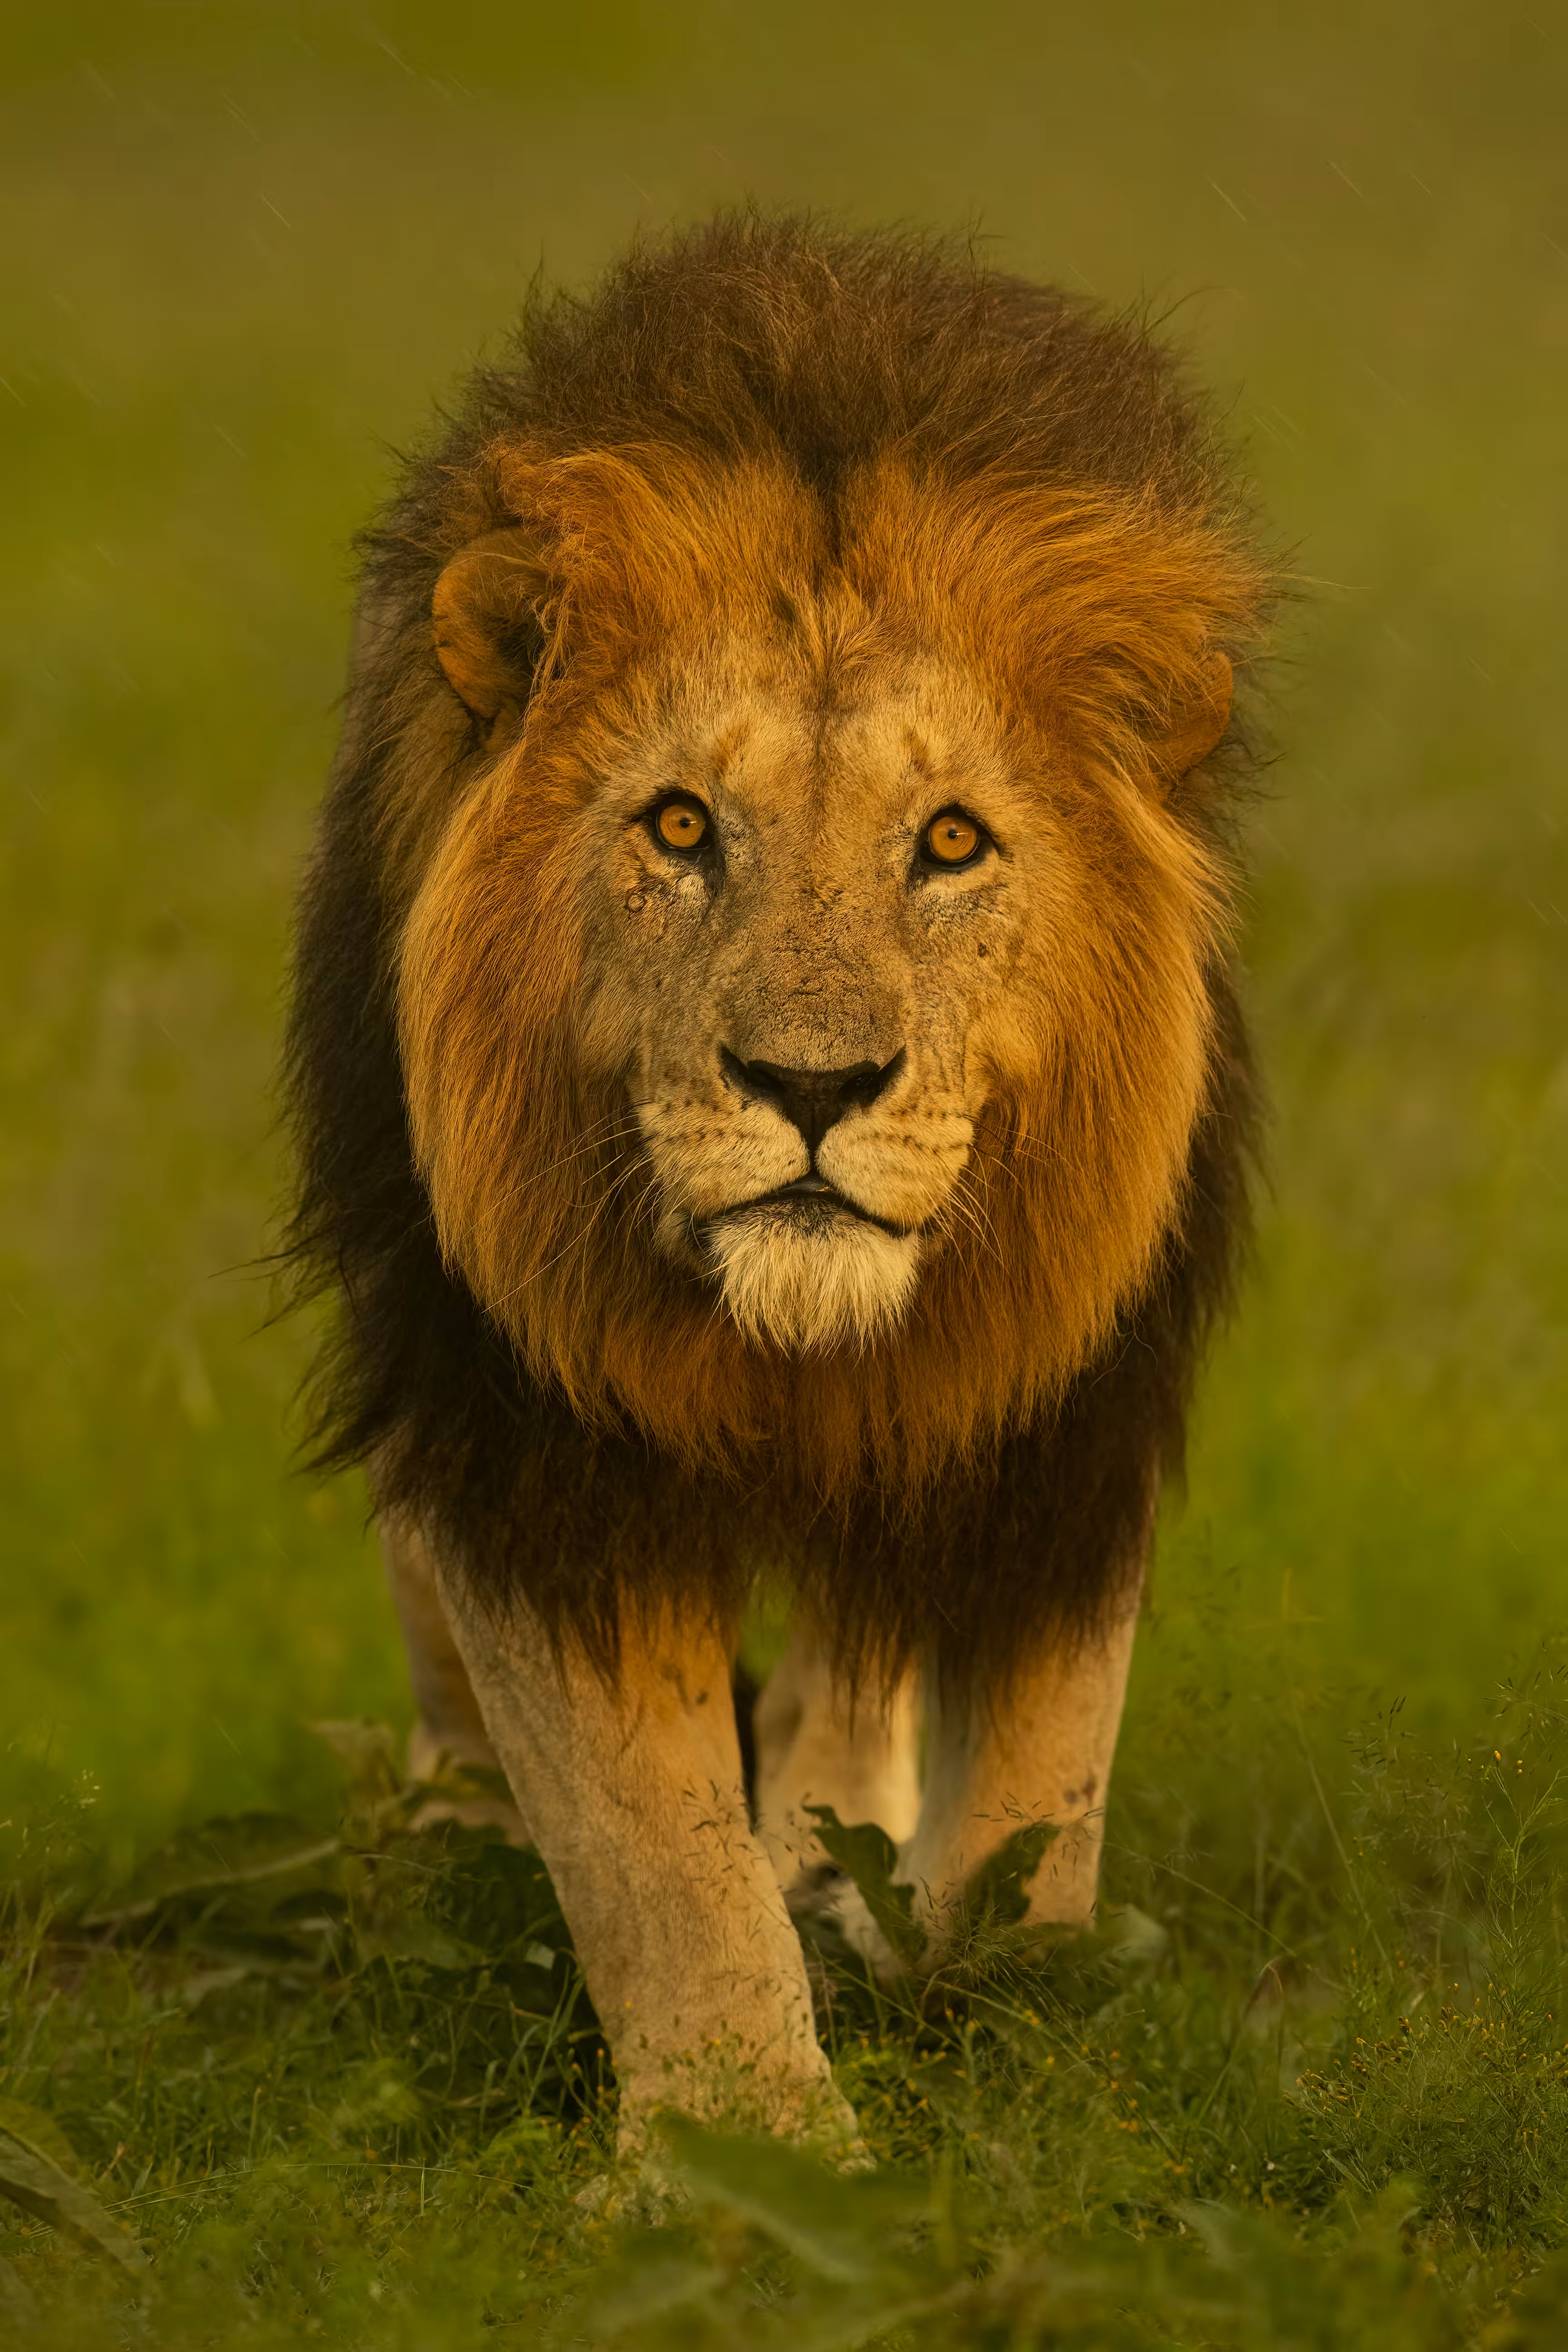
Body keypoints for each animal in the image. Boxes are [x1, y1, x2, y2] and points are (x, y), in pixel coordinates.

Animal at [283, 212, 1273, 2156]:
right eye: (679, 826)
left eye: (949, 843)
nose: (812, 1086)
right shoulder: (526, 1431)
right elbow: (653, 1851)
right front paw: (746, 2147)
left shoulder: (1061, 1417)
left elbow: (1046, 1788)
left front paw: (1002, 2021)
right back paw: (454, 1838)